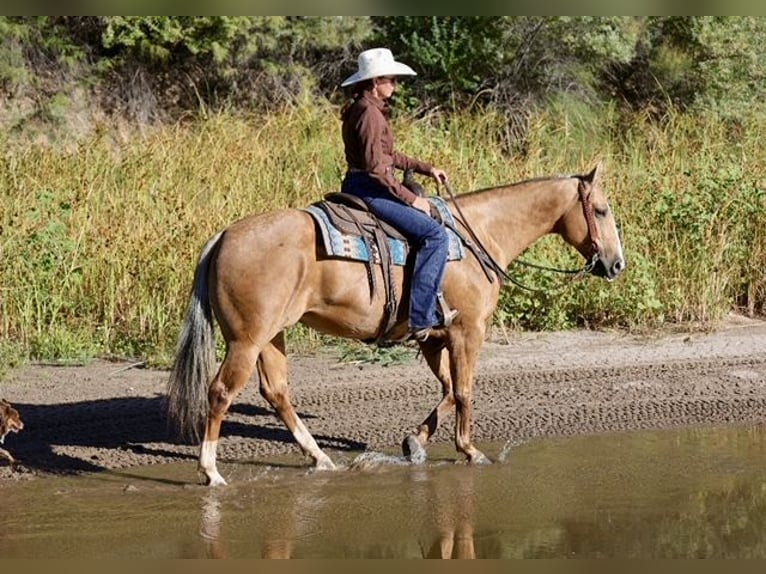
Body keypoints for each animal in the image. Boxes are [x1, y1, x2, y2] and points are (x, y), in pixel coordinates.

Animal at [167, 162, 625, 486]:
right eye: (601, 210)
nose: (616, 264)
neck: (477, 237)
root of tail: (224, 236)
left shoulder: (433, 337)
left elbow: (447, 389)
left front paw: (415, 443)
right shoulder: (468, 331)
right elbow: (464, 390)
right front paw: (470, 450)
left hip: (271, 336)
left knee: (276, 391)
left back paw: (320, 458)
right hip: (247, 339)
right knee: (221, 392)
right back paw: (211, 472)